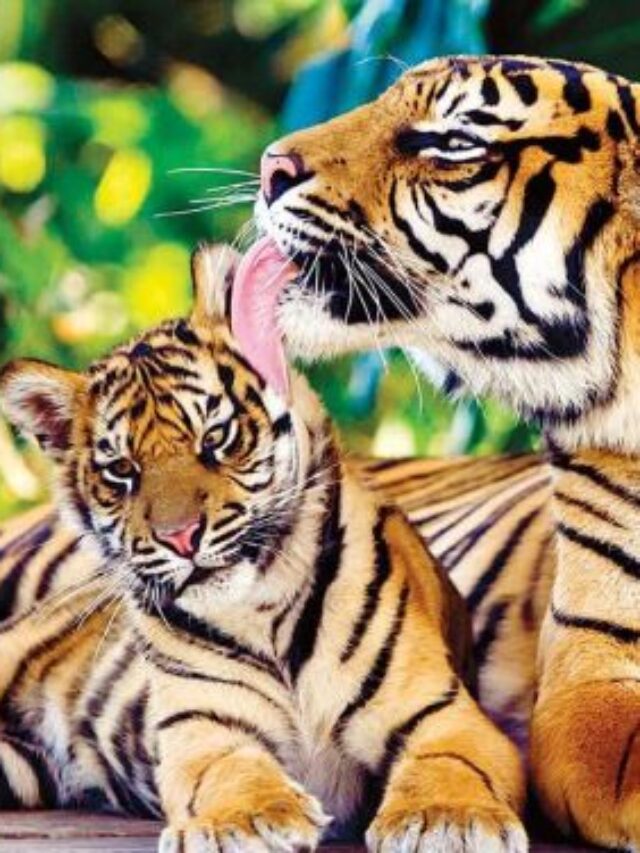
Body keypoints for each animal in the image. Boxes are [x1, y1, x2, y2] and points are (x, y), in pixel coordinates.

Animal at [0, 244, 526, 852]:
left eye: (216, 438)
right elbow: (229, 773)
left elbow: (451, 765)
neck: (262, 609)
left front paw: (447, 820)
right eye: (122, 471)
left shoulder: (441, 712)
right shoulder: (208, 731)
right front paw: (244, 822)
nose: (181, 537)